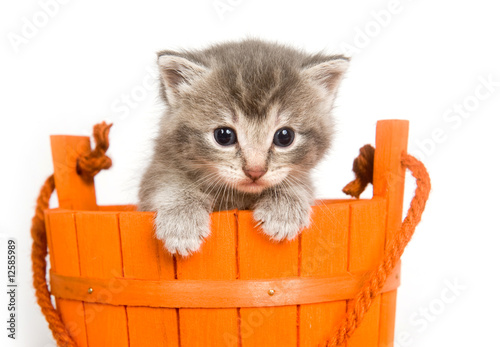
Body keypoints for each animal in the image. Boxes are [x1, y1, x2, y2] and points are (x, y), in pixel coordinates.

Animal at [137, 39, 348, 256]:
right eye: (224, 136)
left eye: (285, 137)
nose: (255, 171)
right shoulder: (162, 164)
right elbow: (167, 182)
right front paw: (182, 220)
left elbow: (300, 184)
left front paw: (284, 208)